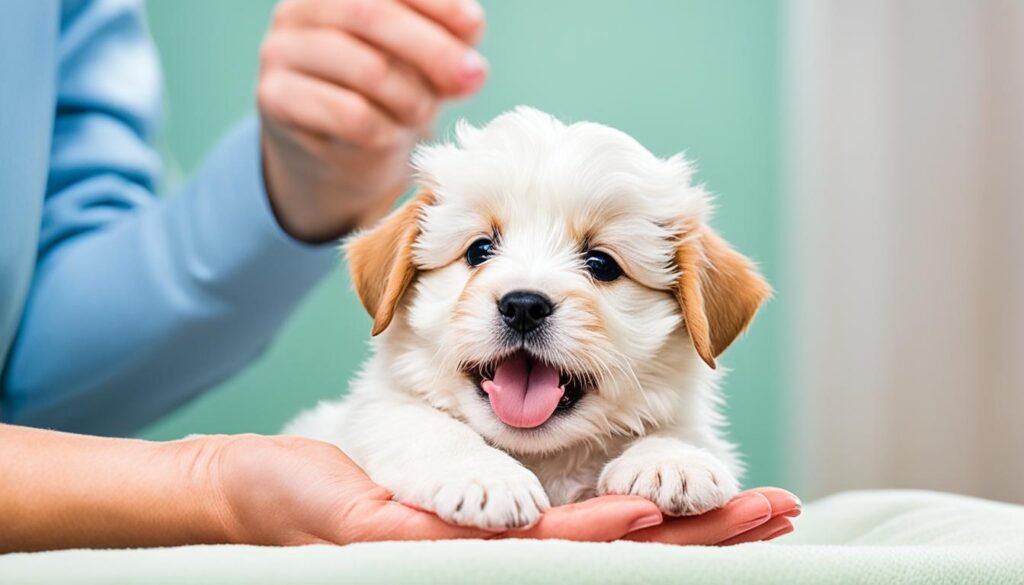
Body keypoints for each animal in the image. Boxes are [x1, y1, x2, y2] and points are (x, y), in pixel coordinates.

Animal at [282, 106, 770, 532]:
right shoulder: (379, 412)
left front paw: (670, 460)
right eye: (479, 251)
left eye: (601, 264)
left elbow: (683, 430)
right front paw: (483, 477)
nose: (523, 306)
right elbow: (422, 424)